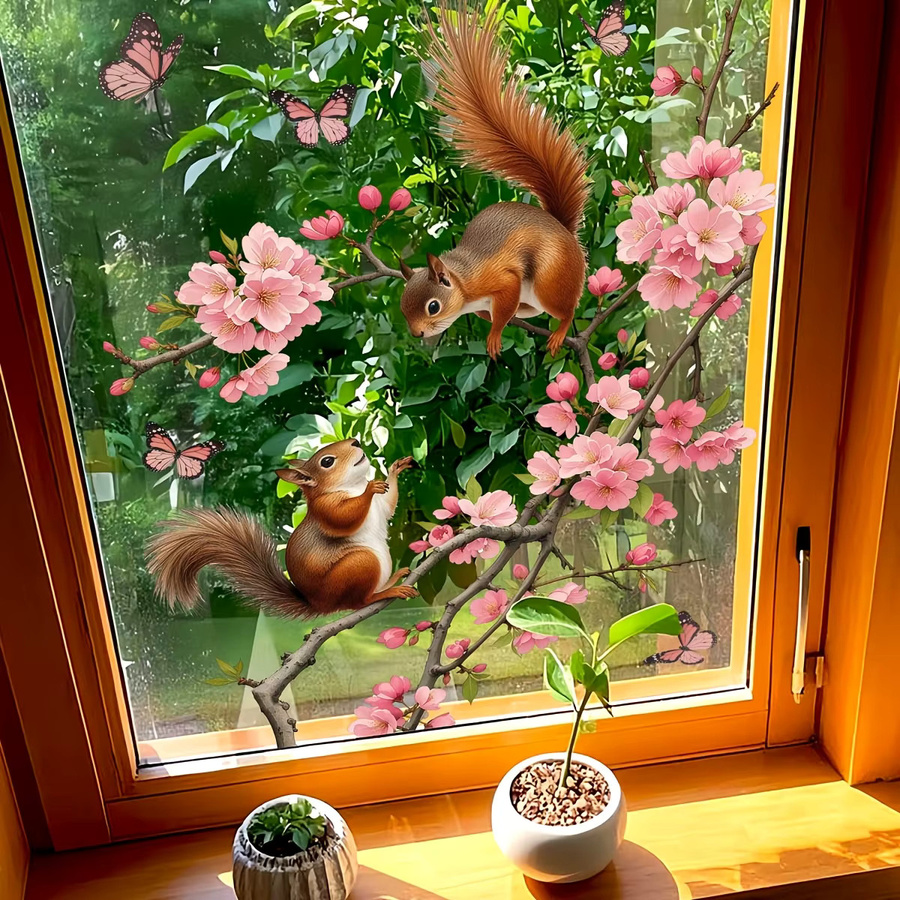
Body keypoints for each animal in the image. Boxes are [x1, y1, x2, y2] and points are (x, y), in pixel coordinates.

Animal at [146, 439, 418, 618]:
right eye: (327, 461)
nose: (356, 441)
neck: (353, 486)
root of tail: (321, 605)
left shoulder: (381, 507)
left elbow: (389, 504)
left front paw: (395, 468)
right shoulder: (324, 509)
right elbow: (343, 518)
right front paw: (371, 486)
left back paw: (394, 579)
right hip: (359, 565)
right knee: (359, 602)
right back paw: (387, 592)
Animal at [399, 2, 590, 360]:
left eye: (433, 306)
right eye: (403, 307)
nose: (417, 333)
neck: (463, 284)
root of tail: (565, 232)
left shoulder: (501, 279)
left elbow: (504, 301)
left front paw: (495, 334)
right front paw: (493, 322)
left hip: (550, 280)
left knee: (567, 310)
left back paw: (559, 333)